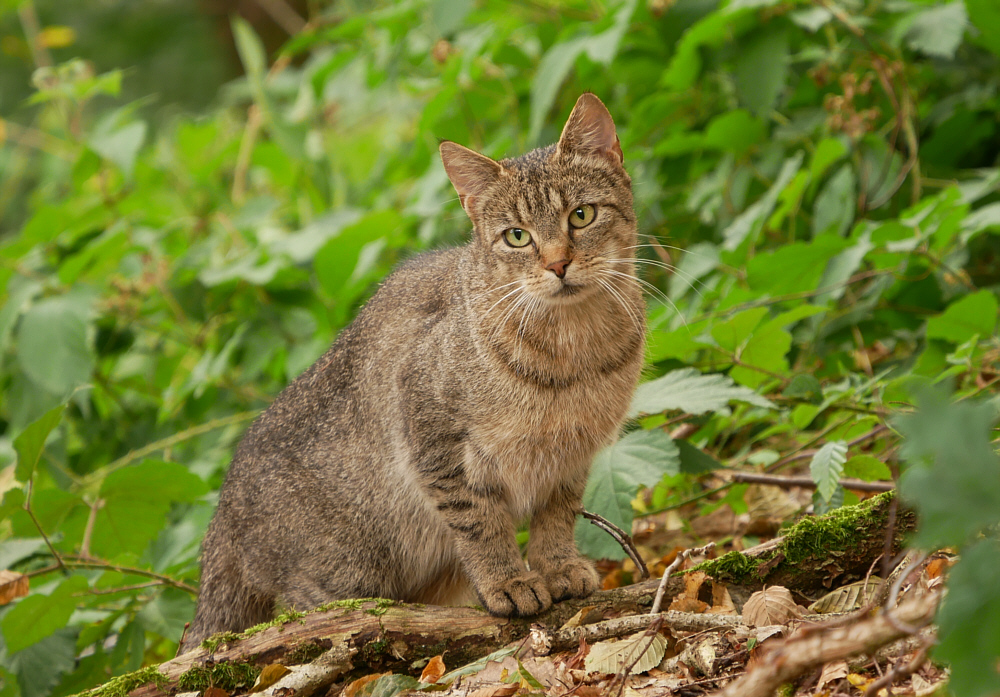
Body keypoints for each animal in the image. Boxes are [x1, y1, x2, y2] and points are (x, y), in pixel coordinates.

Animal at [184, 92, 644, 652]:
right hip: (349, 571)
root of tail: (221, 514)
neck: (573, 353)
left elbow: (556, 518)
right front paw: (507, 581)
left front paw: (557, 567)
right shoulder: (433, 441)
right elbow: (480, 524)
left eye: (582, 214)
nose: (558, 264)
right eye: (517, 236)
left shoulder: (569, 459)